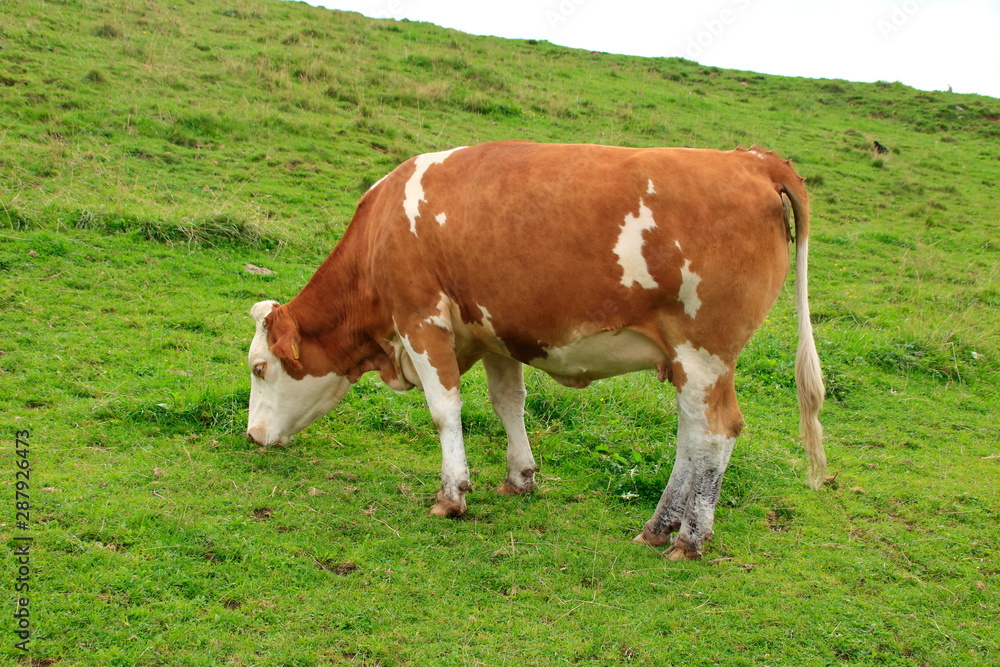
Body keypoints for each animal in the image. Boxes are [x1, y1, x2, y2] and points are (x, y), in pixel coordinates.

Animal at [246, 142, 824, 564]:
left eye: (259, 368)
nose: (252, 436)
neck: (382, 231)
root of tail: (751, 159)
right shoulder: (494, 330)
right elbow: (509, 404)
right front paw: (519, 477)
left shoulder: (421, 321)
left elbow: (444, 410)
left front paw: (451, 495)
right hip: (686, 361)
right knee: (692, 435)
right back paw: (659, 528)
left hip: (704, 352)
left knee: (715, 433)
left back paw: (689, 539)